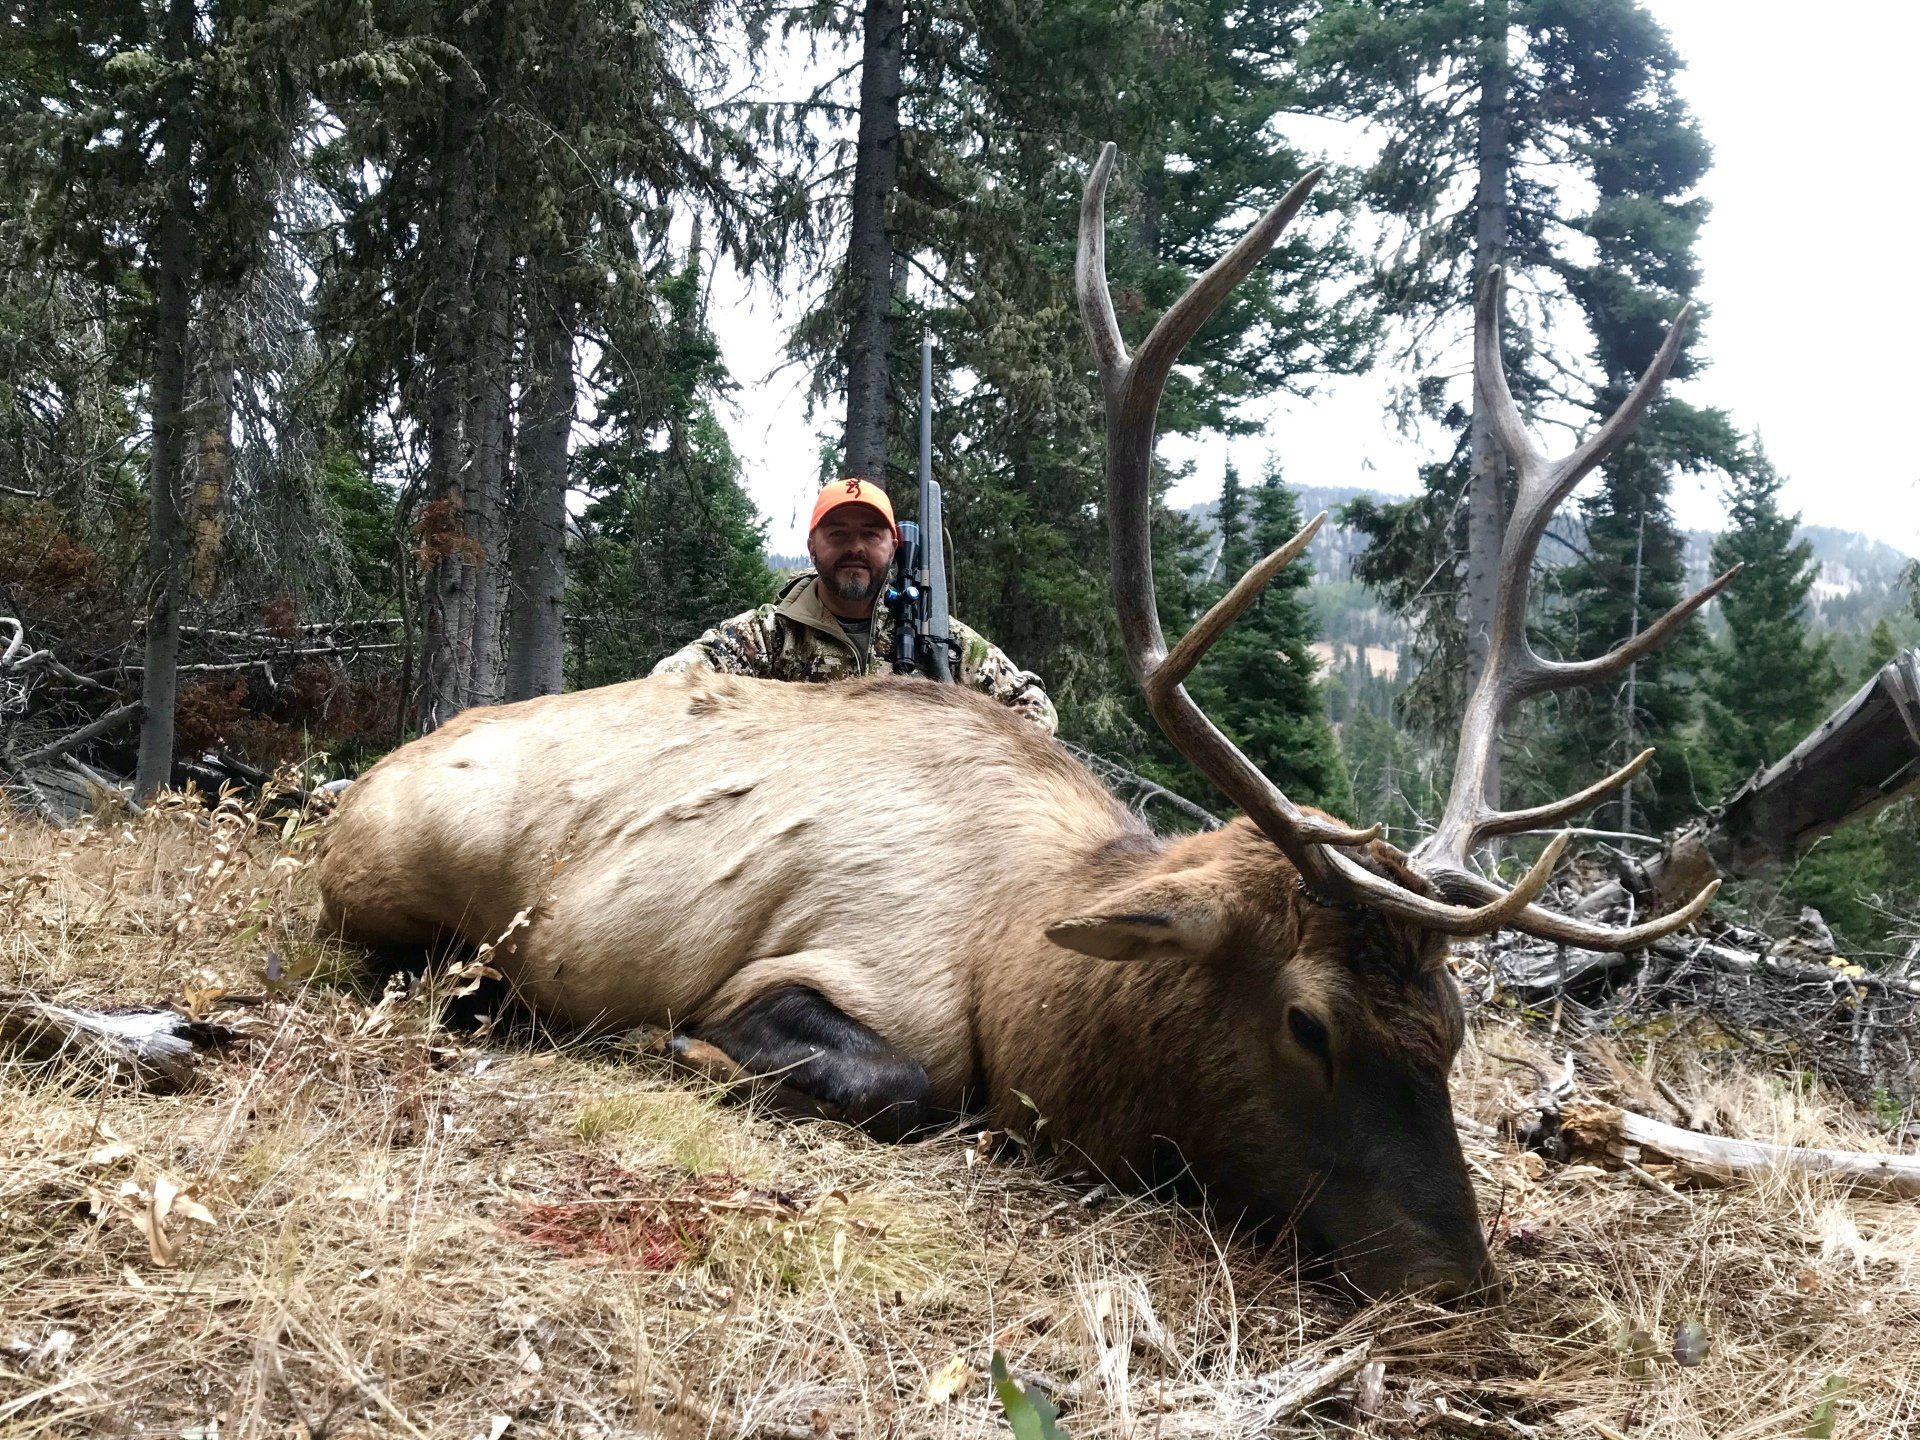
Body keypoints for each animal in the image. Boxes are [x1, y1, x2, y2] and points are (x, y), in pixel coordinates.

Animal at [316, 143, 1729, 1301]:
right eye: (1308, 1022)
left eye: (1453, 1028)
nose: (1456, 1281)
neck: (1022, 965)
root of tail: (355, 787)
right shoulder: (816, 971)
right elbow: (897, 1080)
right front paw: (683, 1053)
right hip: (402, 880)